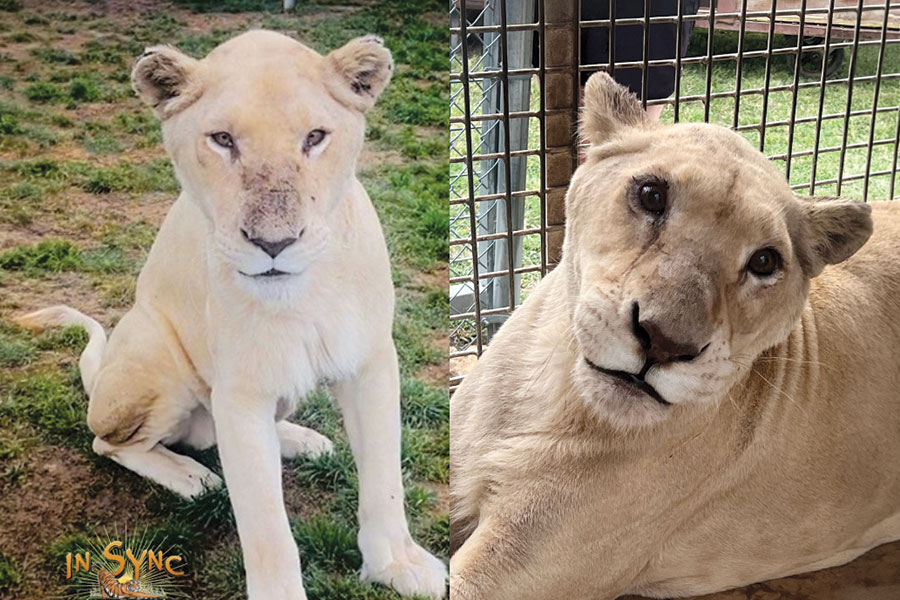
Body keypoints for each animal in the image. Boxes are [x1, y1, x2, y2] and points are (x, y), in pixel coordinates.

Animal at [14, 31, 446, 600]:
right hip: (153, 352)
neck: (304, 294)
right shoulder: (240, 393)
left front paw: (397, 563)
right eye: (222, 139)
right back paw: (191, 477)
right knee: (107, 442)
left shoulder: (371, 362)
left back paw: (302, 440)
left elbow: (384, 477)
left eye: (315, 137)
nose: (274, 243)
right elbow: (267, 528)